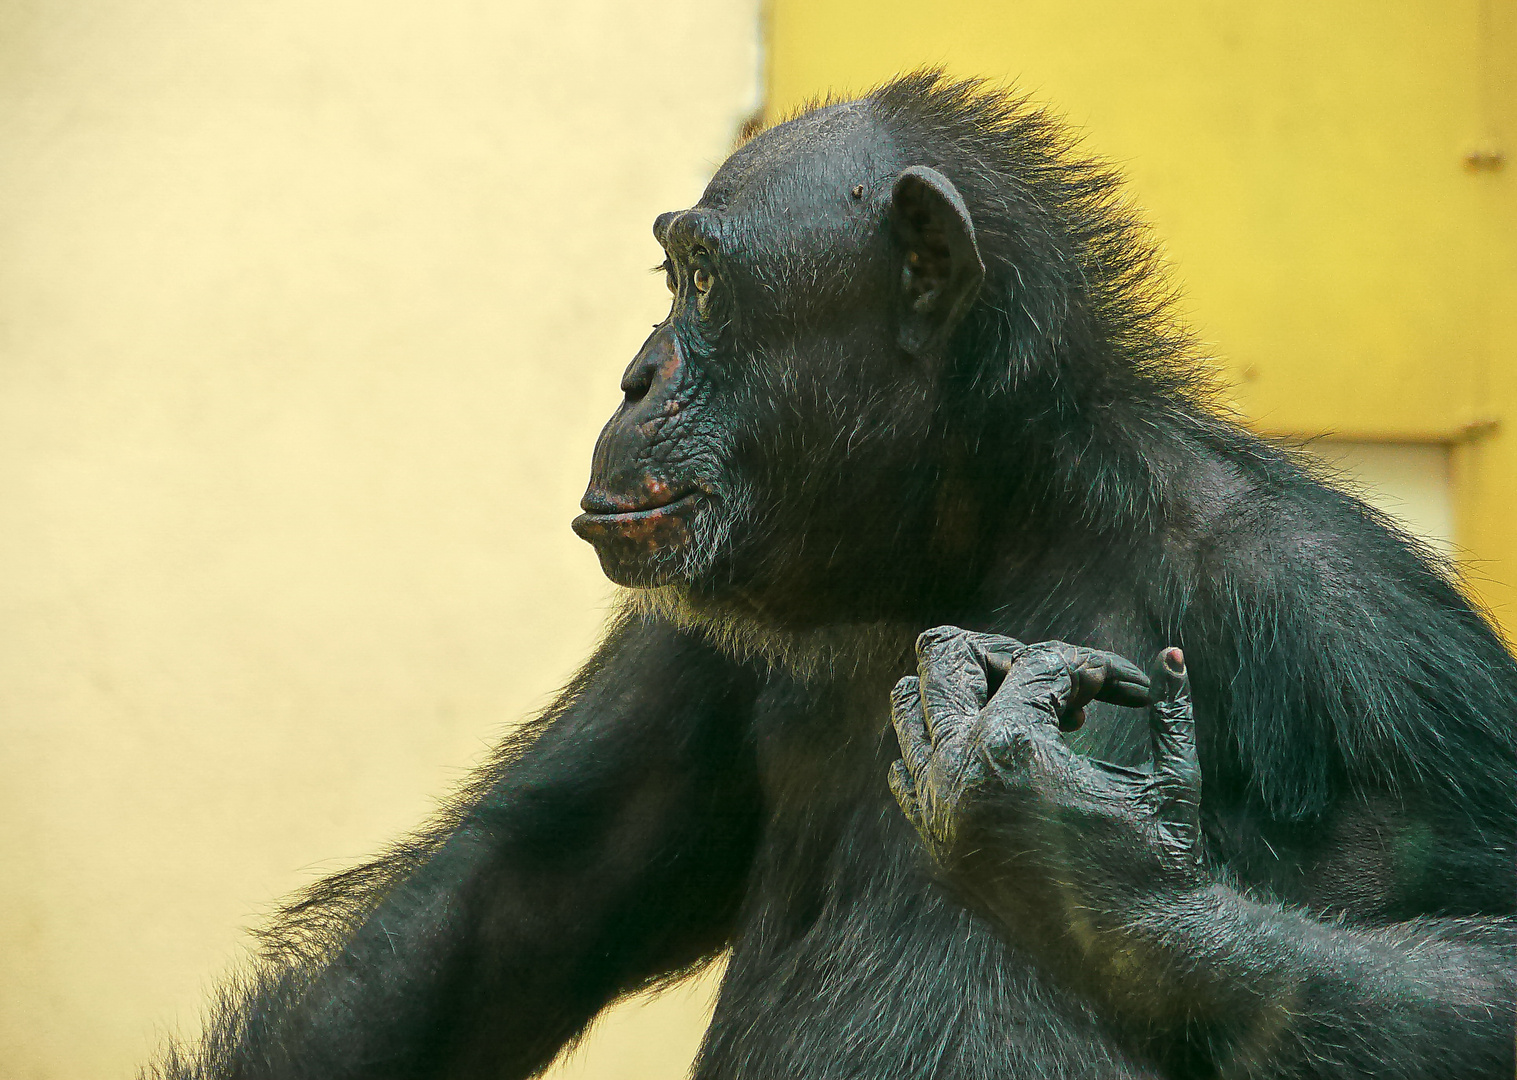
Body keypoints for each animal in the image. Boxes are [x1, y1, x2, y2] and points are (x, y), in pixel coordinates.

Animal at [144, 71, 1517, 1073]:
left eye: (701, 280)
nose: (637, 373)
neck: (988, 531)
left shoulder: (1356, 639)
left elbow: (1486, 958)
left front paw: (1081, 864)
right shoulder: (689, 641)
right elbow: (506, 897)